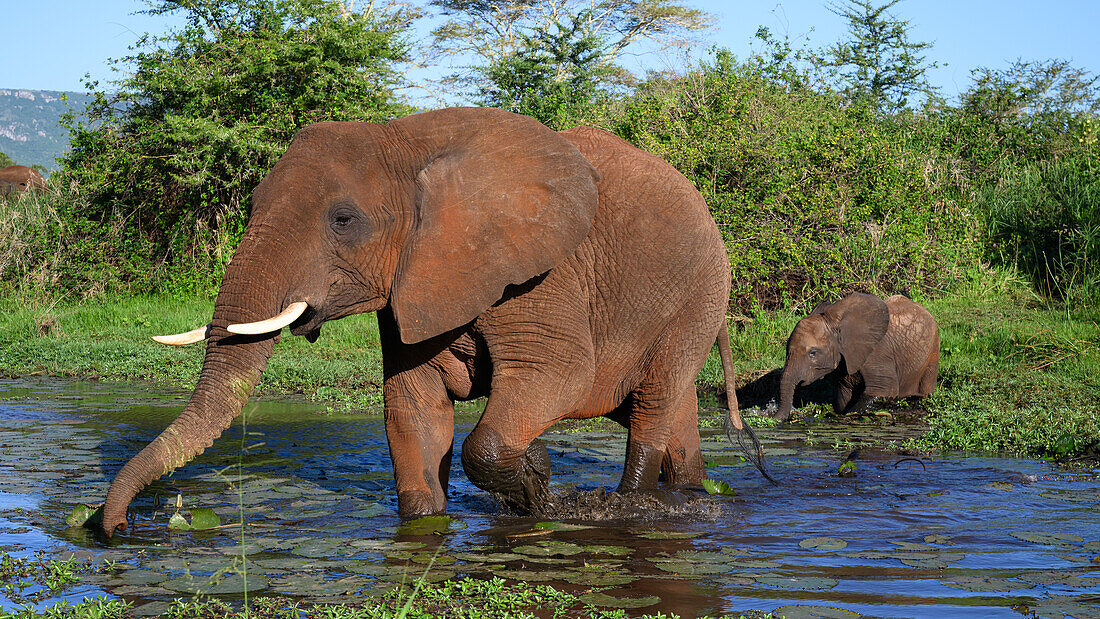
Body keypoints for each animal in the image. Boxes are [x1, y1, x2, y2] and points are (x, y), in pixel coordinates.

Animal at [101, 107, 765, 538]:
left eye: (343, 220)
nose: (117, 526)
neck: (405, 144)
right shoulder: (411, 283)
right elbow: (412, 407)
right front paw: (444, 517)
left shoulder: (539, 274)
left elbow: (557, 379)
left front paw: (538, 485)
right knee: (672, 414)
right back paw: (691, 497)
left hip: (696, 295)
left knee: (651, 410)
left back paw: (629, 506)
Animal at [774, 292, 937, 424]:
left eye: (812, 353)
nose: (770, 417)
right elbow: (843, 399)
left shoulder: (877, 353)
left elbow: (883, 390)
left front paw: (838, 416)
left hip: (933, 353)